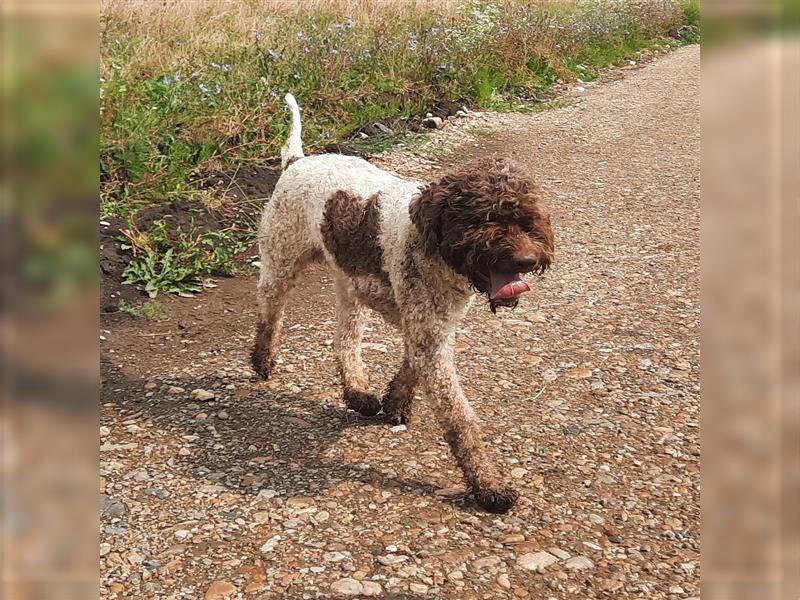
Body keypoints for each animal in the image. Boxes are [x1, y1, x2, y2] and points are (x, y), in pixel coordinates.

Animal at [253, 94, 552, 510]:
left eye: (528, 220)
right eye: (483, 219)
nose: (526, 260)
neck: (433, 246)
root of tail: (298, 160)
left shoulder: (430, 326)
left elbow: (410, 366)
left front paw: (394, 402)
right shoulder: (428, 332)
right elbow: (459, 418)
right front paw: (488, 485)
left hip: (350, 283)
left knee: (344, 340)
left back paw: (359, 393)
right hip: (281, 261)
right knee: (270, 313)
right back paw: (262, 361)